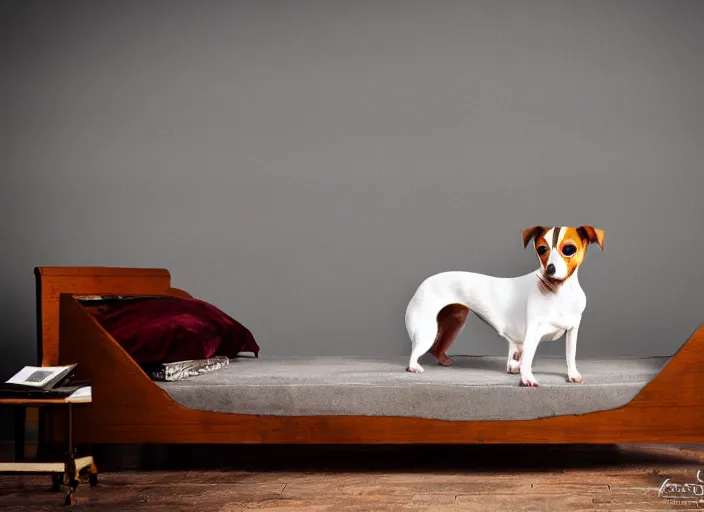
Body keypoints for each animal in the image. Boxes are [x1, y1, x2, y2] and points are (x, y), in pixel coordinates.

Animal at [404, 226, 604, 386]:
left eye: (569, 249)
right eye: (542, 249)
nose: (550, 269)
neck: (557, 291)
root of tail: (423, 284)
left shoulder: (572, 331)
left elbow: (570, 356)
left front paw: (573, 375)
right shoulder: (533, 332)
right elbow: (527, 359)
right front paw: (527, 378)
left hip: (455, 322)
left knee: (436, 348)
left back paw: (443, 360)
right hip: (427, 330)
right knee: (417, 351)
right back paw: (414, 367)